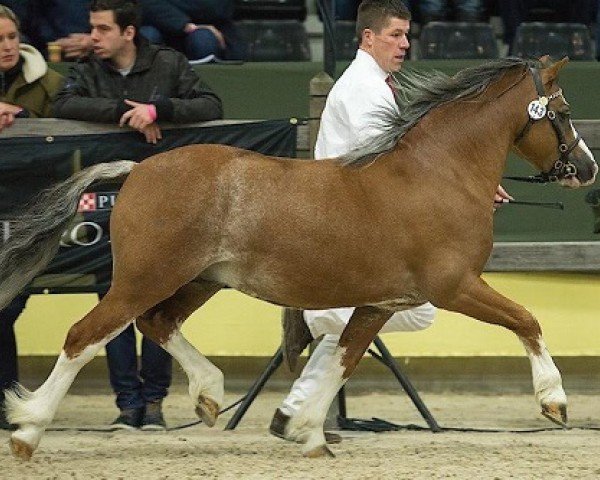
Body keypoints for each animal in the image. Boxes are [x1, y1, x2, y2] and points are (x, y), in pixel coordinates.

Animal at [1, 56, 596, 458]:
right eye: (565, 112)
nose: (587, 168)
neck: (437, 174)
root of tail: (137, 170)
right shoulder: (455, 286)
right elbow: (527, 321)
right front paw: (555, 402)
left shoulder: (380, 303)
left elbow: (342, 360)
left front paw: (306, 431)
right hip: (143, 279)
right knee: (85, 337)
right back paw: (28, 429)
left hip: (197, 281)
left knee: (158, 323)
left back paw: (209, 395)